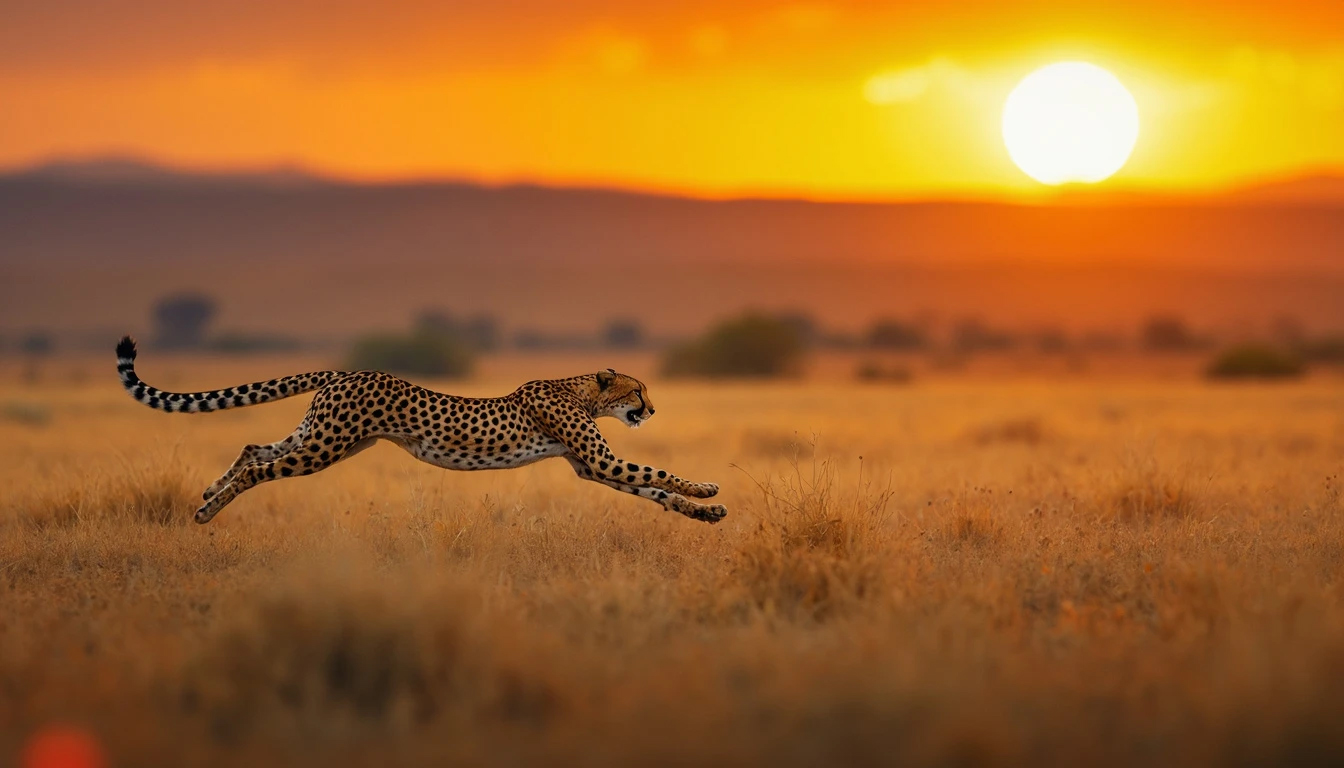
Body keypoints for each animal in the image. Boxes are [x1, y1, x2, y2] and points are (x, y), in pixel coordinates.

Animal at [114, 337, 725, 527]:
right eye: (636, 391)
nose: (652, 410)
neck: (580, 391)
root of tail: (347, 370)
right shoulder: (597, 461)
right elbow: (658, 472)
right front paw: (710, 490)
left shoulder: (589, 467)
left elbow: (653, 489)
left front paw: (707, 513)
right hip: (324, 447)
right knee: (262, 467)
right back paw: (206, 511)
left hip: (324, 439)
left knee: (251, 448)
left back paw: (208, 492)